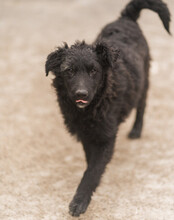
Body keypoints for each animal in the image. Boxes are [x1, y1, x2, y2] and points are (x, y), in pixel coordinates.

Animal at [44, 0, 170, 217]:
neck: (91, 109)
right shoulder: (87, 135)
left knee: (142, 106)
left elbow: (92, 171)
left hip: (144, 82)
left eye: (94, 71)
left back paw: (136, 130)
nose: (81, 94)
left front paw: (80, 200)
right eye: (69, 71)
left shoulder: (105, 137)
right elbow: (91, 163)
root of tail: (126, 18)